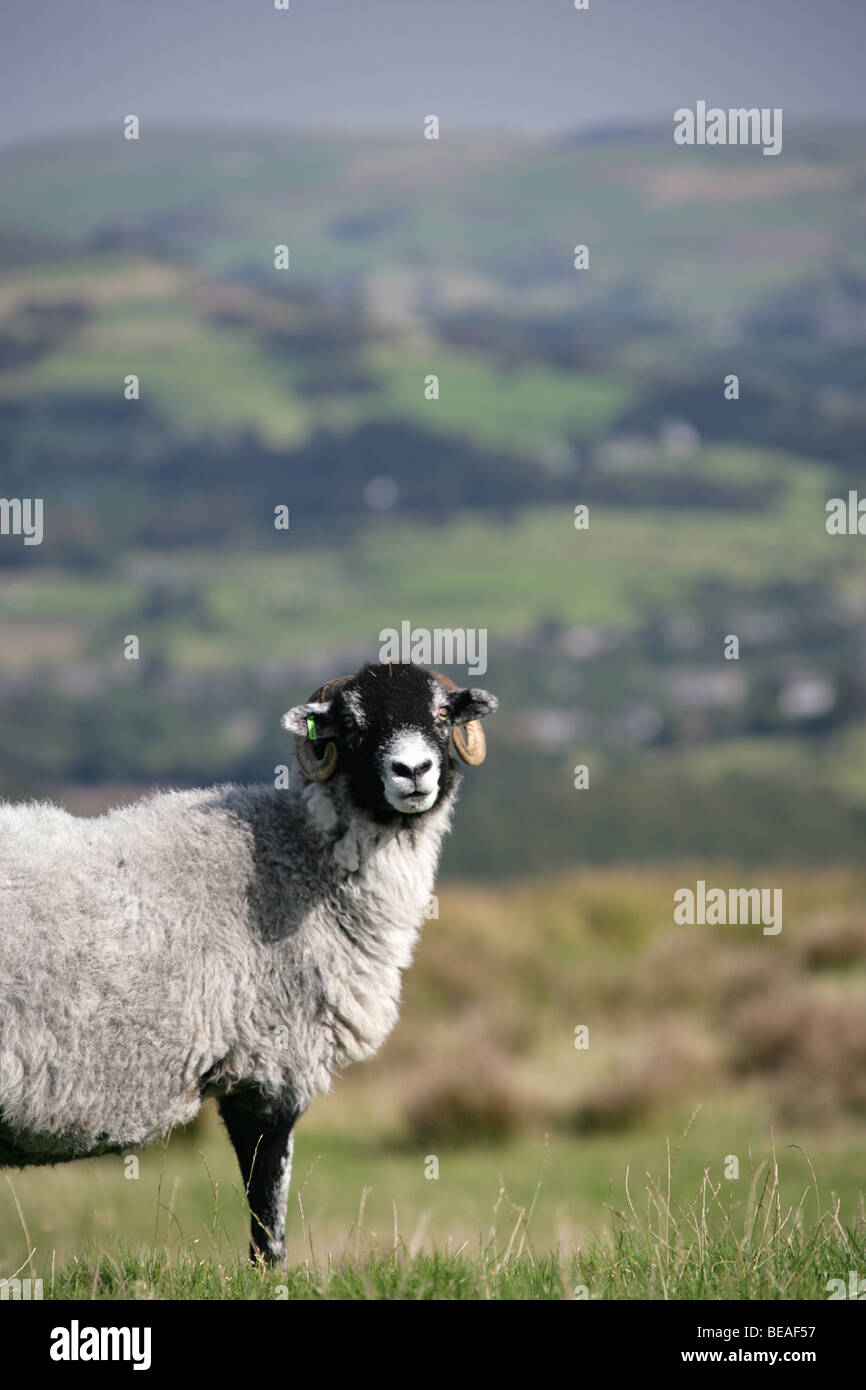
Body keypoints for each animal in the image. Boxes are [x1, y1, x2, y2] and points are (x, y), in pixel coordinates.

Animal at [0, 661, 497, 1262]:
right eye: (354, 725)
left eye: (442, 714)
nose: (413, 771)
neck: (298, 858)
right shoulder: (269, 1061)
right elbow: (267, 1202)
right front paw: (270, 1271)